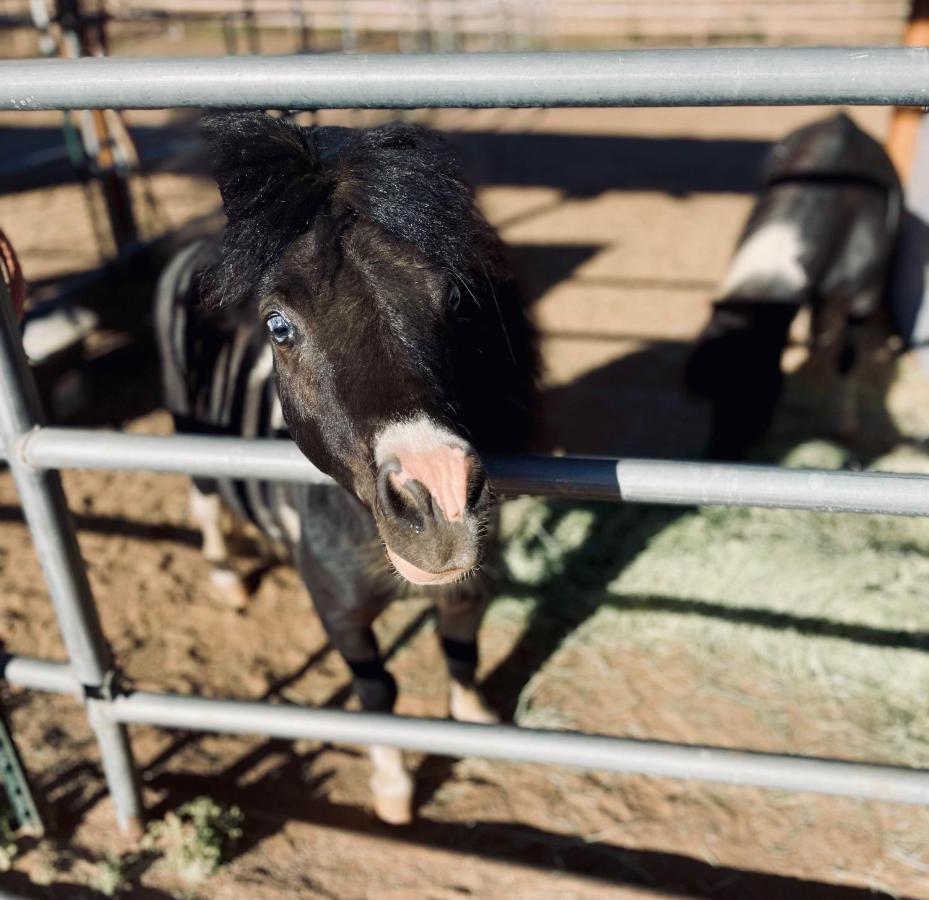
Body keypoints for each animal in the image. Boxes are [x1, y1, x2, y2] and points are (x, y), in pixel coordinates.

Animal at [157, 110, 540, 824]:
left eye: (455, 299)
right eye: (278, 326)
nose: (438, 499)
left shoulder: (468, 590)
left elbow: (462, 651)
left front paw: (477, 720)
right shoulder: (337, 612)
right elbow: (376, 693)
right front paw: (393, 790)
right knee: (205, 502)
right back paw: (227, 579)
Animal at [684, 113, 904, 460]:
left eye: (760, 393)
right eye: (712, 399)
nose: (716, 455)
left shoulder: (862, 294)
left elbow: (847, 356)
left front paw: (844, 428)